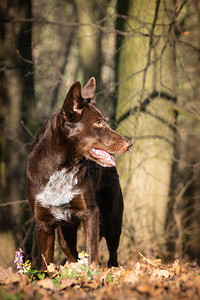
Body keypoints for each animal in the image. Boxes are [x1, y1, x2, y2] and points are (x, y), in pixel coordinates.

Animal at [27, 77, 133, 270]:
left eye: (105, 121)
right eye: (98, 122)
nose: (129, 144)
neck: (61, 168)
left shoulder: (90, 212)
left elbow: (92, 252)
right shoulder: (44, 222)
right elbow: (46, 263)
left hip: (113, 221)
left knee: (112, 255)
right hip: (64, 233)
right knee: (72, 255)